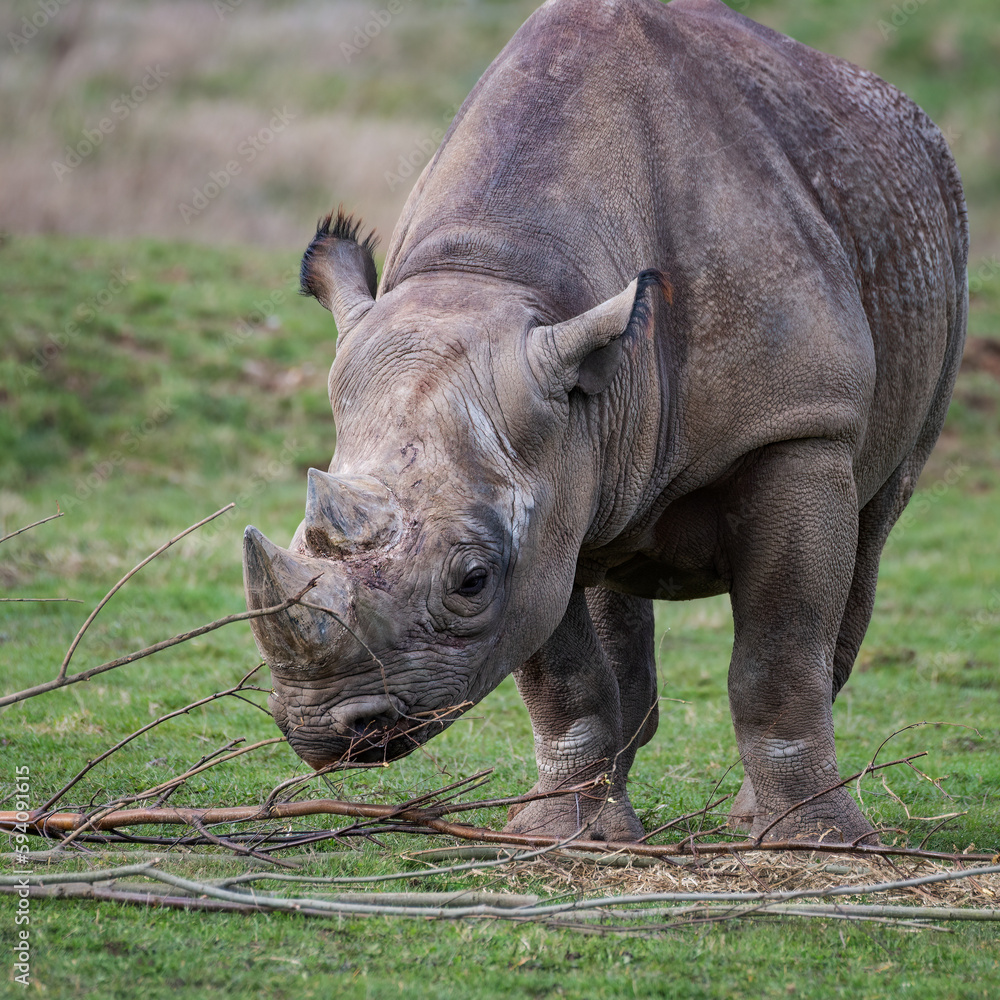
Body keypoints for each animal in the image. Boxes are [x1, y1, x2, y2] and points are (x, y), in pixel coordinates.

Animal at [243, 0, 967, 843]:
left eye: (471, 581)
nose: (324, 731)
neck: (501, 273)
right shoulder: (552, 465)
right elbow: (564, 671)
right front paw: (556, 835)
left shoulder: (799, 429)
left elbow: (780, 653)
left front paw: (820, 846)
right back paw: (612, 823)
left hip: (932, 235)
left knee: (872, 529)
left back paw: (757, 820)